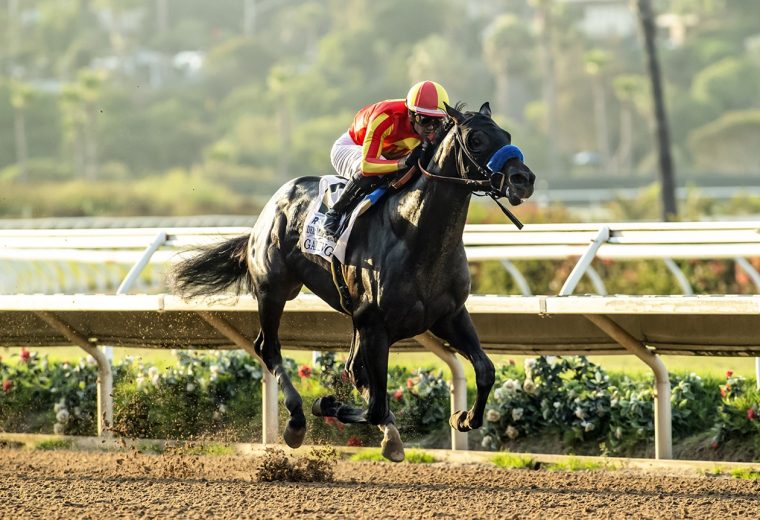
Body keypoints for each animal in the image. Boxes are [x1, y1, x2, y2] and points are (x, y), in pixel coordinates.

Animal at [174, 101, 536, 460]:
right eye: (475, 140)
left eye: (506, 135)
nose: (523, 179)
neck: (415, 234)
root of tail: (270, 208)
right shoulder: (374, 324)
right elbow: (374, 404)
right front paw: (326, 404)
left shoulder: (448, 316)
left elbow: (485, 370)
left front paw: (463, 417)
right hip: (273, 290)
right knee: (269, 347)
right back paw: (297, 421)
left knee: (352, 369)